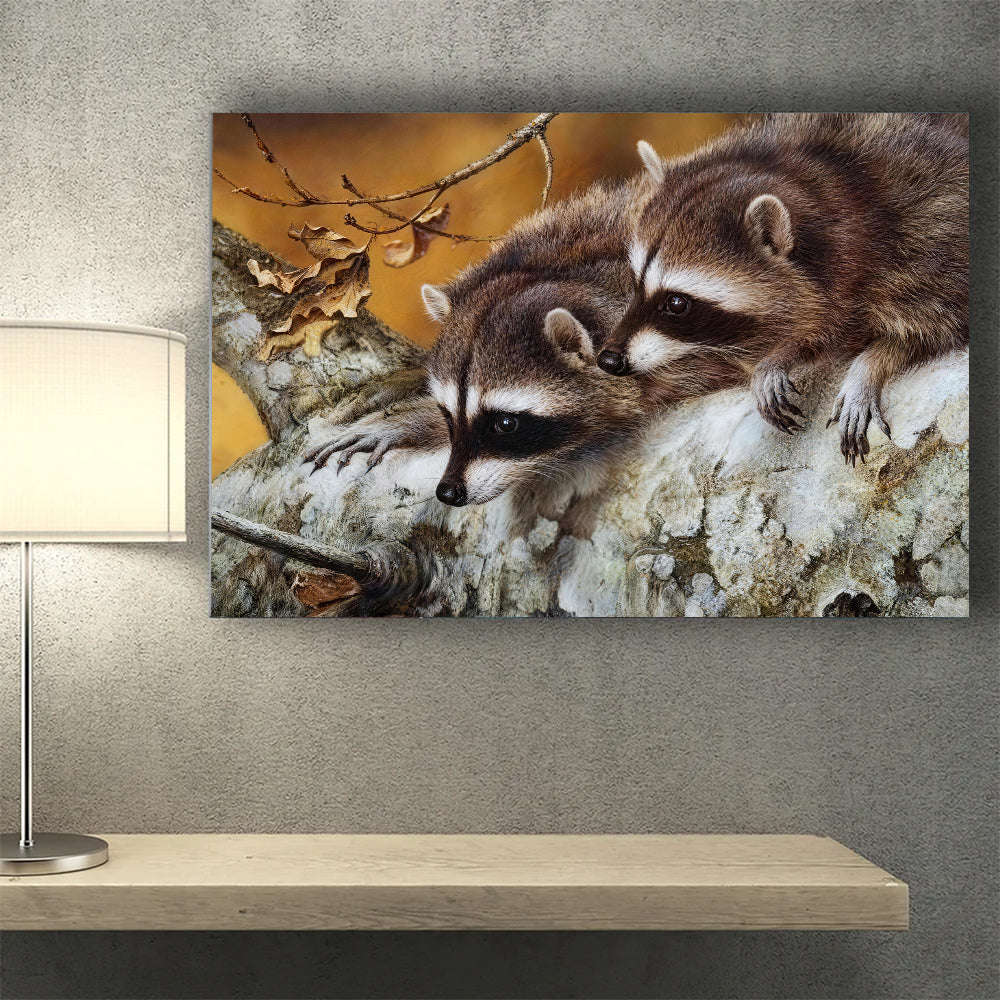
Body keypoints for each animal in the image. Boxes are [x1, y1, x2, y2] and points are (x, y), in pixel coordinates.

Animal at [599, 113, 969, 465]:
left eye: (676, 303)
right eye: (635, 282)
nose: (608, 359)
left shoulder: (931, 244)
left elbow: (925, 333)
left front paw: (867, 368)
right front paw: (781, 354)